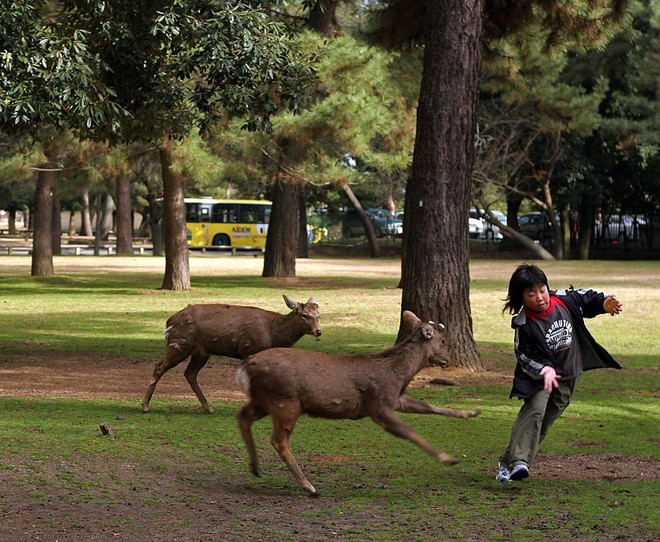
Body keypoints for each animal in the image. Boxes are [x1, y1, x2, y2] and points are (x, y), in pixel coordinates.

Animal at [142, 296, 322, 414]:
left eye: (318, 315)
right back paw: (145, 406)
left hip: (201, 352)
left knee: (190, 373)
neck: (273, 334)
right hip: (180, 344)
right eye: (304, 315)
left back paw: (208, 408)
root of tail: (169, 322)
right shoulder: (248, 349)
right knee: (159, 367)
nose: (318, 331)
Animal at [236, 312, 480, 500]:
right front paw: (448, 458)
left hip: (264, 400)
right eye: (443, 341)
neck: (399, 376)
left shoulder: (396, 399)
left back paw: (255, 467)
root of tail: (245, 367)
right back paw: (310, 487)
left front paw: (472, 412)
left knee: (243, 416)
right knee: (278, 440)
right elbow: (409, 432)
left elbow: (429, 406)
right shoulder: (379, 406)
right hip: (285, 401)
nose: (447, 360)